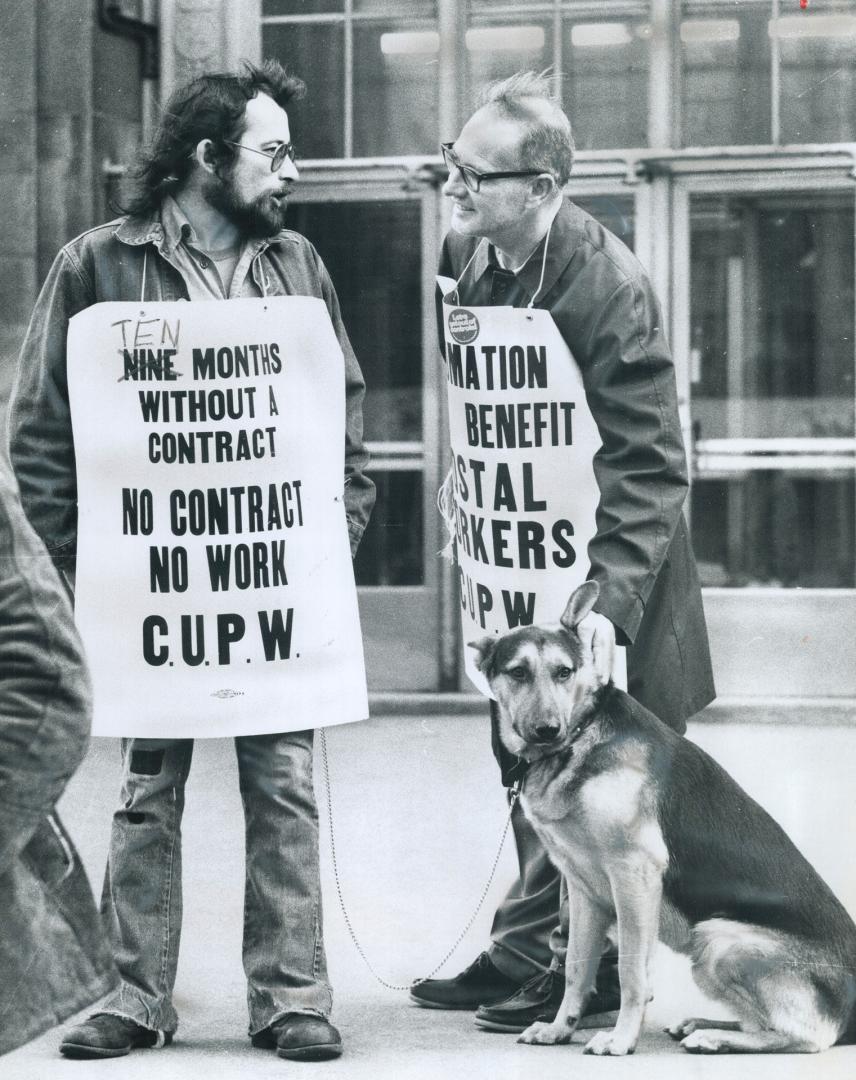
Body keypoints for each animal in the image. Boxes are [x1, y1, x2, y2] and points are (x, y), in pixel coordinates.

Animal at [468, 583, 854, 1054]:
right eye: (518, 673)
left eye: (563, 672)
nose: (547, 730)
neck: (580, 736)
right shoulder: (584, 891)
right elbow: (576, 967)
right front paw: (561, 1027)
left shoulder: (635, 876)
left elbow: (631, 972)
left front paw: (620, 1039)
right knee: (762, 1024)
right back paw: (703, 1025)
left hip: (718, 940)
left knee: (804, 1036)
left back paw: (712, 1036)